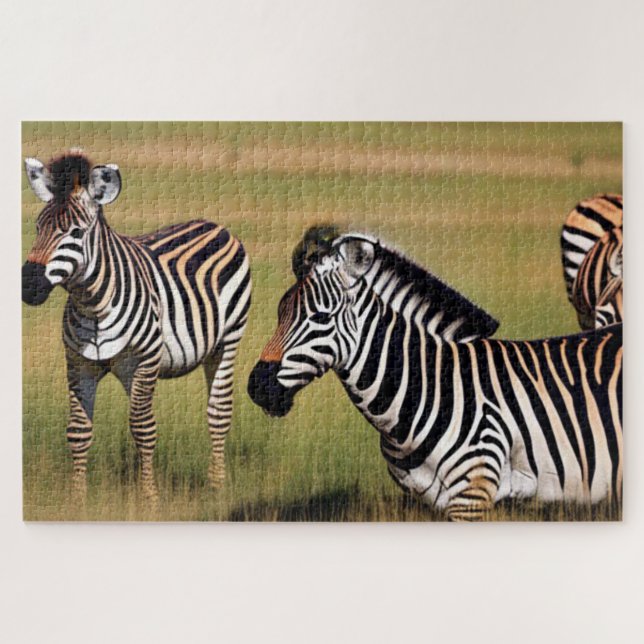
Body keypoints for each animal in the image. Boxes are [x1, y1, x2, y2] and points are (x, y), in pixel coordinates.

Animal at [22, 152, 251, 505]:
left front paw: (149, 498)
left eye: (75, 232)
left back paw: (217, 486)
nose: (29, 286)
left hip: (227, 341)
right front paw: (78, 499)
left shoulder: (142, 363)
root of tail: (216, 225)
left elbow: (143, 429)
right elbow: (78, 430)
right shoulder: (79, 365)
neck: (93, 303)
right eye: (37, 228)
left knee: (219, 413)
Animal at [248, 227, 623, 521]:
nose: (257, 387)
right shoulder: (432, 502)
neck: (430, 382)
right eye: (279, 313)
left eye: (322, 317)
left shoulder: (472, 494)